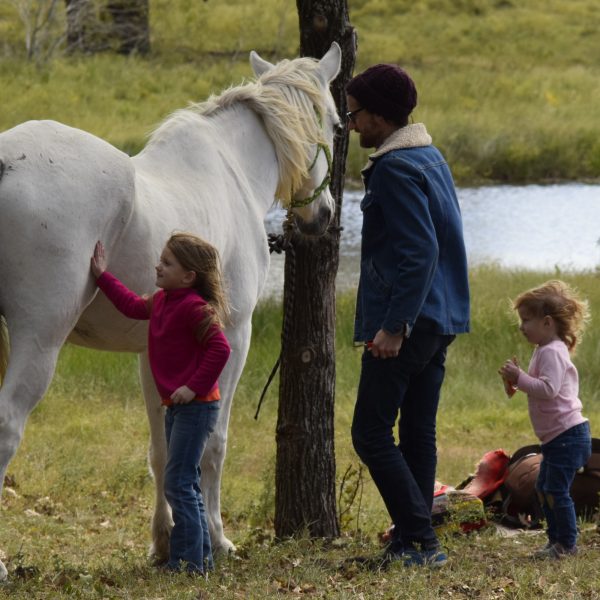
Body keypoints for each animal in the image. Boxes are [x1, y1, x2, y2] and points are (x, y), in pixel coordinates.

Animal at [0, 41, 340, 576]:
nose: (321, 216)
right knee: (7, 427)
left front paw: (165, 542)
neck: (232, 171)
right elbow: (213, 444)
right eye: (335, 124)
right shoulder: (233, 337)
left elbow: (163, 447)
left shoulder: (153, 352)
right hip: (39, 342)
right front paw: (216, 539)